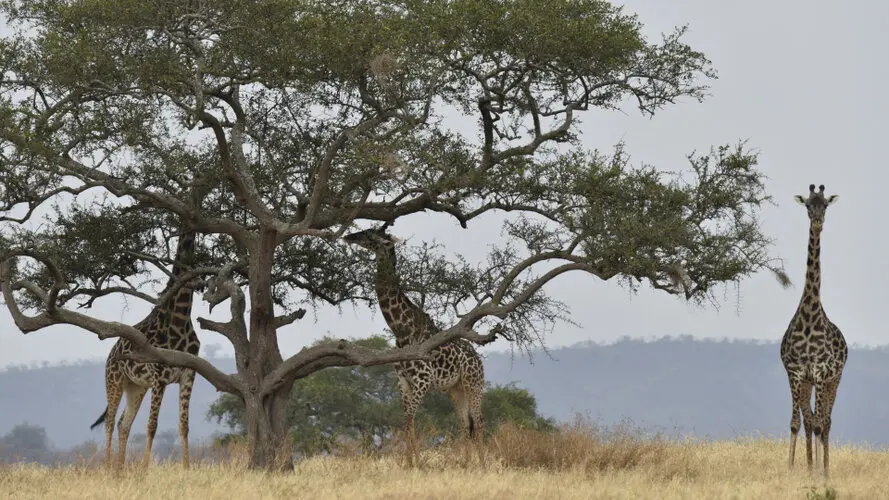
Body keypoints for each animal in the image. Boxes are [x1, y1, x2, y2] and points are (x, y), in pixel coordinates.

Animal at [89, 227, 202, 468]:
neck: (180, 319)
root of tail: (111, 353)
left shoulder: (188, 374)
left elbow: (184, 426)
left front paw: (187, 469)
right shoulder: (160, 377)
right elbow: (152, 425)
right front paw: (144, 469)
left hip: (136, 387)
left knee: (124, 423)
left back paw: (121, 468)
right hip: (114, 380)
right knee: (110, 421)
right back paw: (108, 467)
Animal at [344, 227, 496, 464]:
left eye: (371, 235)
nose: (349, 236)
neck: (401, 330)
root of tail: (478, 359)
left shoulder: (422, 380)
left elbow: (409, 419)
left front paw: (415, 462)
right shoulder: (403, 381)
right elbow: (407, 421)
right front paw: (410, 461)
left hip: (474, 383)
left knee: (478, 421)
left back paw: (481, 464)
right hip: (455, 389)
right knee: (465, 422)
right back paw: (466, 463)